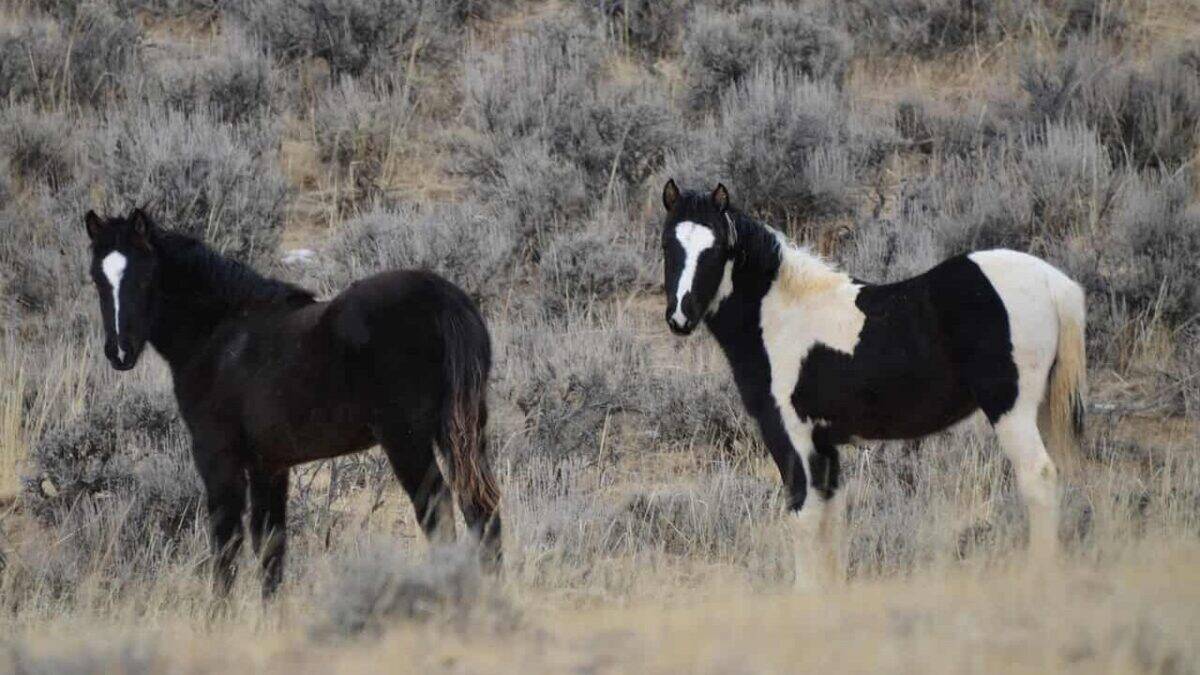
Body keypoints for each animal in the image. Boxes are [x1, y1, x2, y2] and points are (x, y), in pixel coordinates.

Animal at [83, 208, 502, 597]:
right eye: (97, 278)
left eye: (145, 277)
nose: (119, 353)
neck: (219, 335)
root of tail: (444, 300)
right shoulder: (269, 466)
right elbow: (271, 548)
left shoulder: (218, 458)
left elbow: (227, 545)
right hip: (466, 432)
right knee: (482, 508)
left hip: (408, 441)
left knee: (439, 512)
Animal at [658, 180, 1087, 587]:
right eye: (667, 245)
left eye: (716, 249)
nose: (680, 316)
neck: (781, 317)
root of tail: (1054, 283)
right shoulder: (824, 445)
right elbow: (830, 520)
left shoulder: (792, 435)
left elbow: (804, 516)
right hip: (1043, 408)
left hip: (1011, 410)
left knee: (1038, 478)